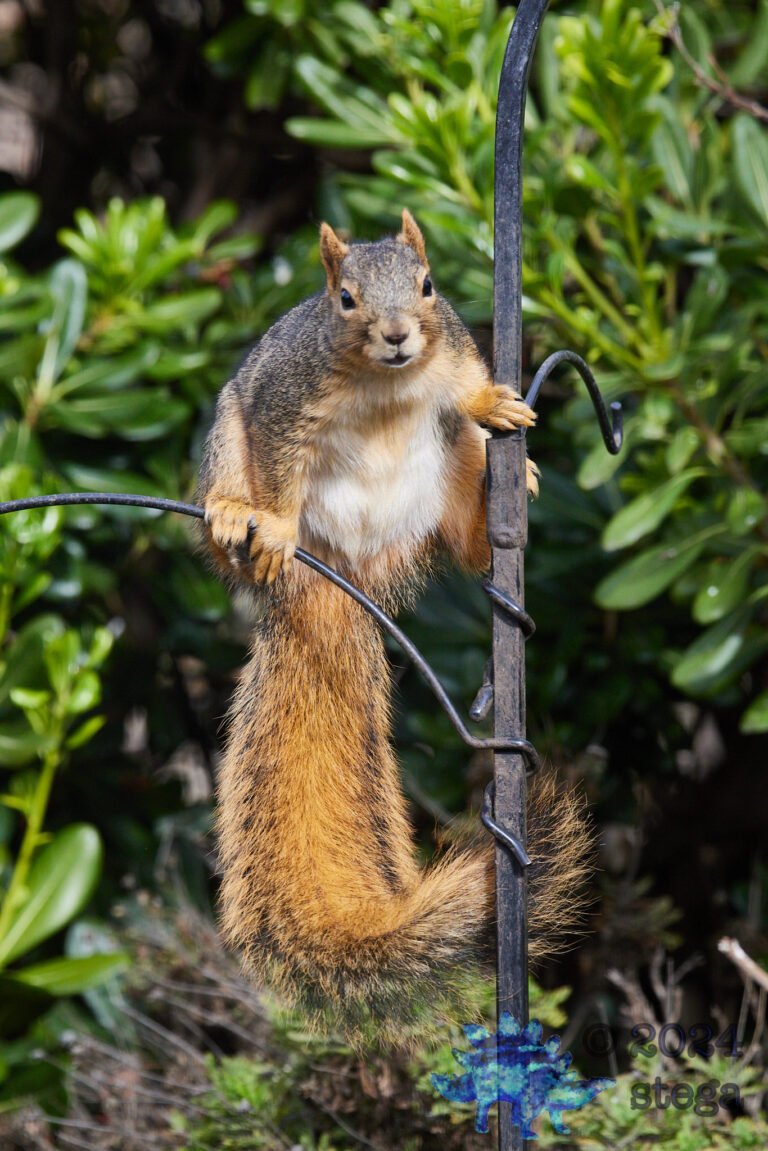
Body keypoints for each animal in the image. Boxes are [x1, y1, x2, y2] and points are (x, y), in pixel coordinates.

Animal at [197, 210, 592, 1046]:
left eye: (430, 284)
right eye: (344, 299)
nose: (401, 335)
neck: (385, 384)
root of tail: (342, 564)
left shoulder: (454, 354)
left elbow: (467, 380)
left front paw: (498, 403)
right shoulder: (287, 404)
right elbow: (280, 465)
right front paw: (272, 522)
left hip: (444, 482)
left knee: (469, 536)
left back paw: (507, 491)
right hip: (226, 441)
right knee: (240, 493)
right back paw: (236, 517)